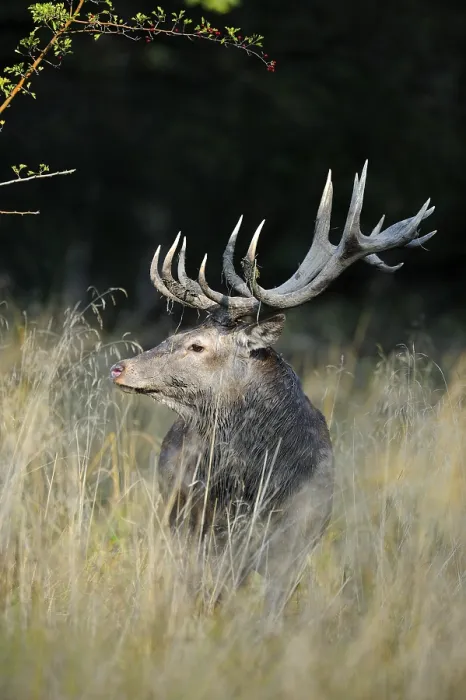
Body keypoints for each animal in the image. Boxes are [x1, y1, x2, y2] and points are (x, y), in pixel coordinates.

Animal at [110, 162, 435, 617]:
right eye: (181, 333)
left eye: (197, 345)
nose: (120, 368)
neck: (257, 485)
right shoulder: (209, 531)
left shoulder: (295, 540)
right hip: (177, 514)